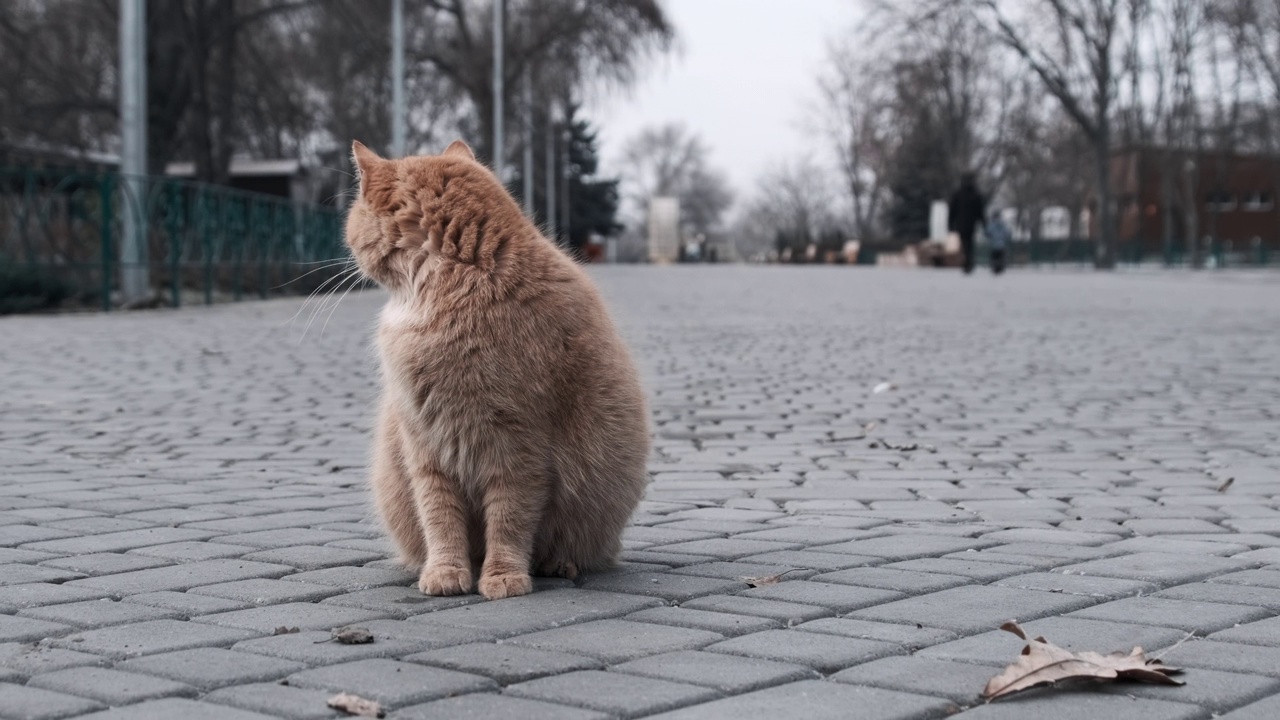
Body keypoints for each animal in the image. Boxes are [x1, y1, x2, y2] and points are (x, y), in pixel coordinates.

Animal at [345, 137, 650, 597]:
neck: (458, 282)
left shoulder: (519, 447)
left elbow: (509, 520)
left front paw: (504, 576)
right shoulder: (425, 449)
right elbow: (440, 520)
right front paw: (446, 573)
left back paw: (559, 564)